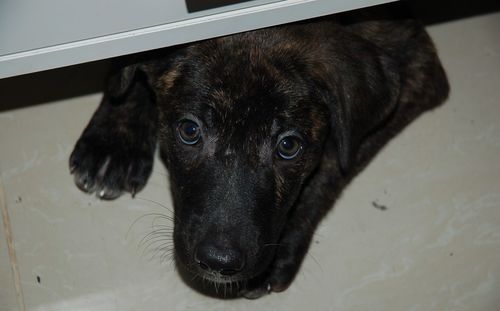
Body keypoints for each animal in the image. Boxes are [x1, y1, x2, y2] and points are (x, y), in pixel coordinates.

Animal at [67, 3, 450, 300]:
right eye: (190, 131)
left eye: (289, 146)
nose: (218, 263)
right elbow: (127, 64)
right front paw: (113, 139)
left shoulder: (418, 67)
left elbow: (331, 164)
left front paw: (283, 247)